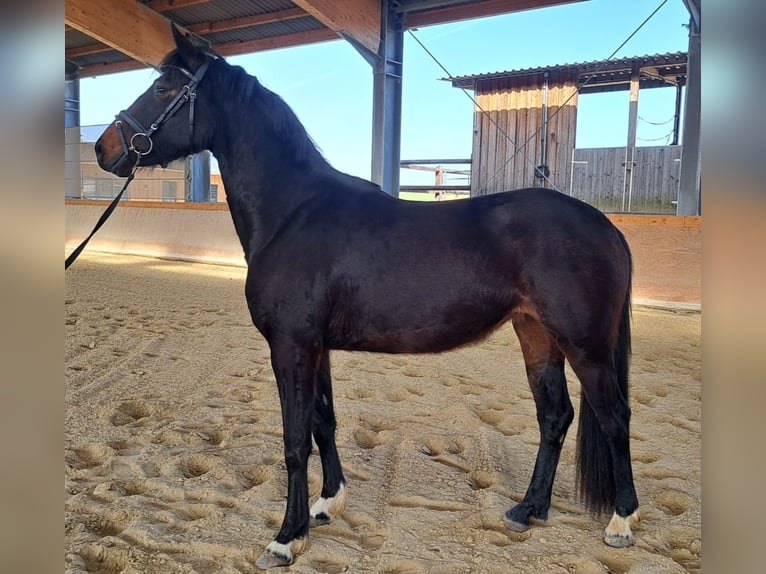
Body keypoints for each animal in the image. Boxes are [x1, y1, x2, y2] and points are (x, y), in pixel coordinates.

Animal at [95, 24, 639, 569]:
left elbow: (294, 441)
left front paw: (285, 537)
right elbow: (323, 422)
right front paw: (326, 504)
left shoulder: (291, 345)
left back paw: (621, 522)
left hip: (585, 344)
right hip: (537, 334)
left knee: (614, 418)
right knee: (555, 415)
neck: (294, 213)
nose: (104, 147)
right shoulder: (315, 347)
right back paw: (529, 509)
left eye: (163, 88)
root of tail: (606, 227)